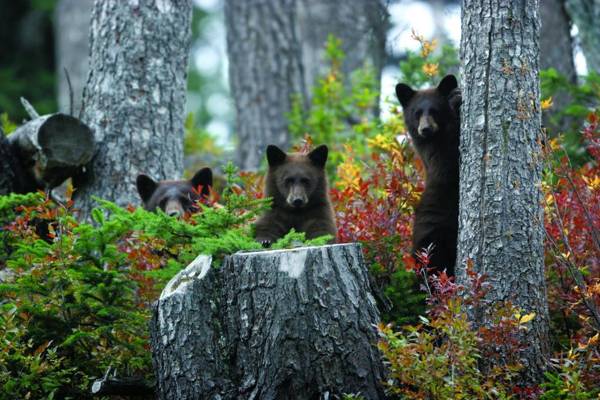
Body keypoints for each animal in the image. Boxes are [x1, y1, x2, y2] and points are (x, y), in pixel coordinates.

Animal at [396, 74, 462, 276]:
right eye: (417, 112)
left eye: (434, 110)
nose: (424, 129)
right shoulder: (432, 153)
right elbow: (449, 158)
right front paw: (455, 99)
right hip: (433, 236)